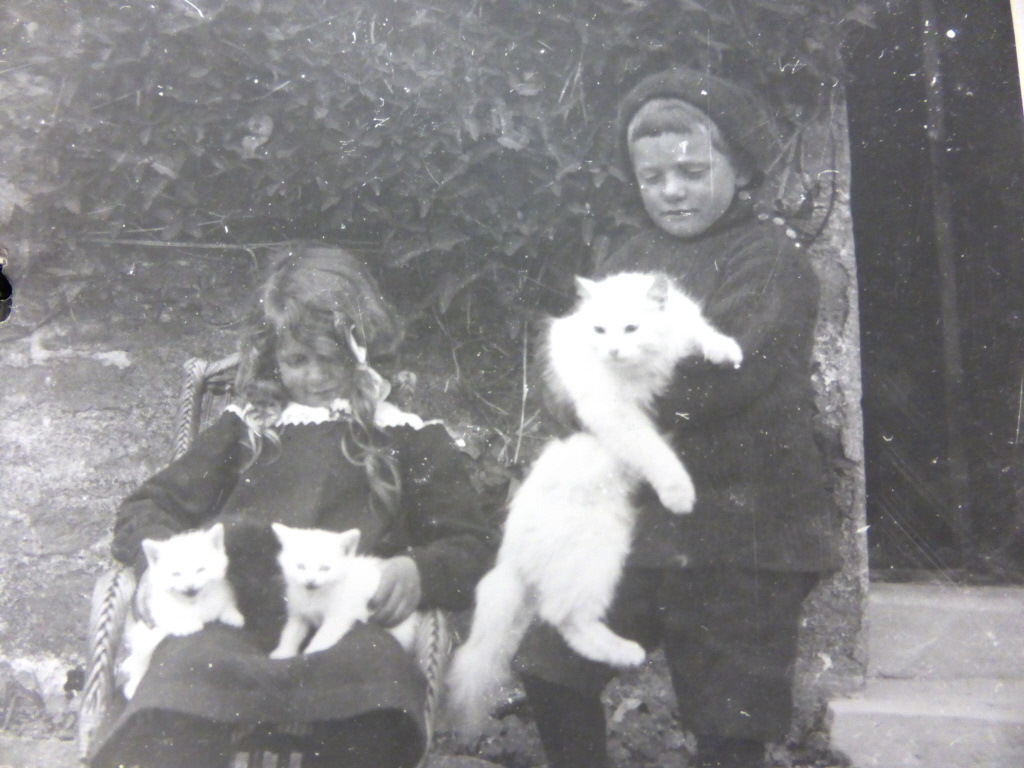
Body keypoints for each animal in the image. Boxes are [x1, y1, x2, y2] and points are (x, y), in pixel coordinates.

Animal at [118, 528, 244, 700]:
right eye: (176, 574)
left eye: (200, 570)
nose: (190, 588)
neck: (193, 603)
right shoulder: (157, 617)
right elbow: (172, 624)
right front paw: (190, 625)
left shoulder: (222, 594)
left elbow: (225, 605)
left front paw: (233, 616)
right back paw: (132, 685)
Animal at [270, 528, 421, 659]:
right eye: (300, 566)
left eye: (325, 568)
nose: (310, 581)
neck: (314, 596)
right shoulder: (299, 613)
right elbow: (290, 633)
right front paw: (282, 653)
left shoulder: (339, 617)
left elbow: (323, 637)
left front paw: (312, 653)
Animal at [444, 274, 741, 737]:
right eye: (600, 331)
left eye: (631, 328)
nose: (613, 351)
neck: (642, 362)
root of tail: (511, 556)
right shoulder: (614, 413)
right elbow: (655, 452)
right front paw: (679, 495)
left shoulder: (683, 327)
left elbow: (702, 331)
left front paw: (727, 350)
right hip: (595, 560)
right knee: (564, 617)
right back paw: (625, 652)